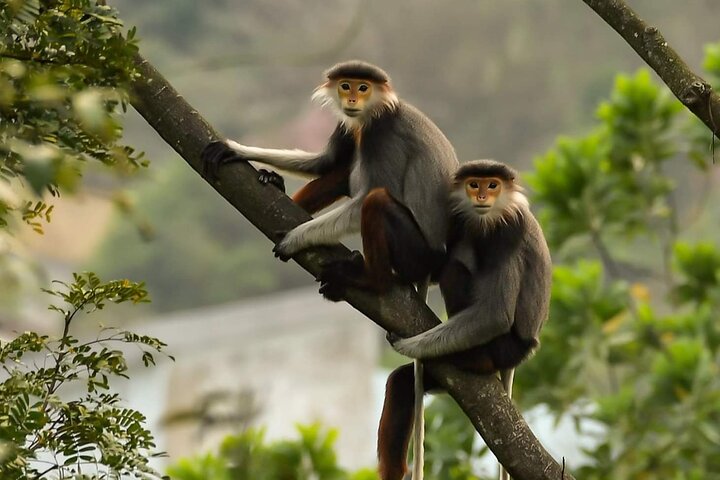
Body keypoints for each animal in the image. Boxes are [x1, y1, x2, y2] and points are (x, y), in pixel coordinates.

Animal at [379, 160, 552, 480]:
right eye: (474, 184)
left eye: (492, 185)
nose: (481, 197)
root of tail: (527, 346)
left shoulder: (507, 231)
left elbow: (496, 313)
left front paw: (408, 345)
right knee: (402, 382)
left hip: (505, 346)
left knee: (455, 270)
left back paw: (477, 360)